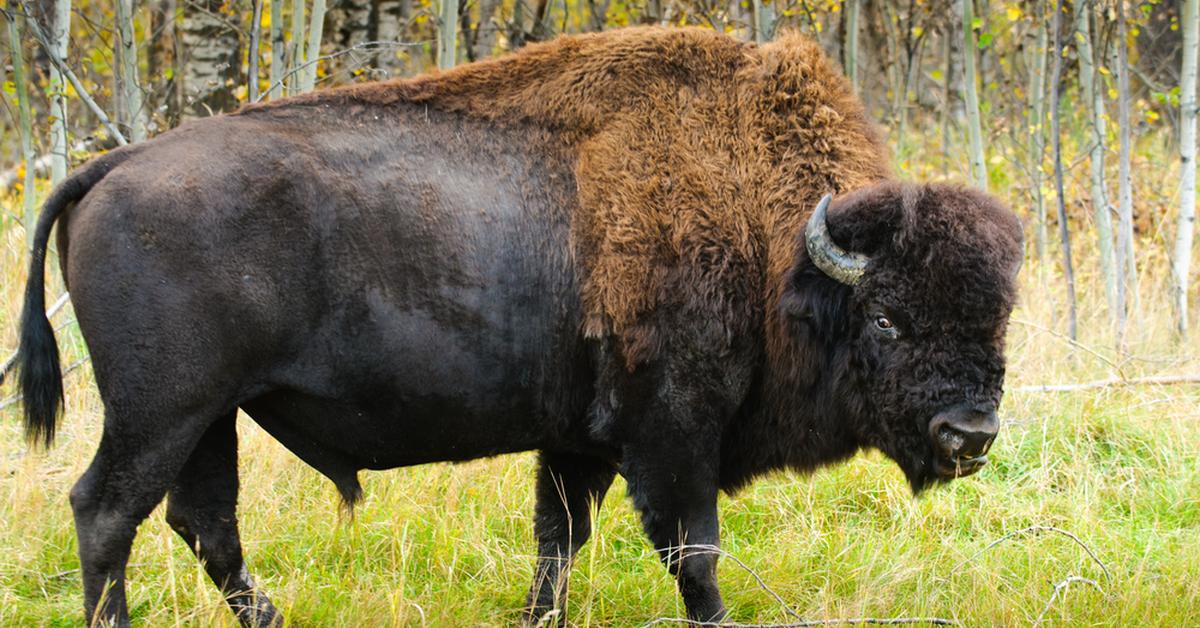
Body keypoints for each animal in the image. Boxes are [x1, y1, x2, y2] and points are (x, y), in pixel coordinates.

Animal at [9, 25, 1022, 628]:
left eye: (998, 318)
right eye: (887, 318)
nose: (970, 435)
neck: (769, 243)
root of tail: (113, 165)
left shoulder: (577, 441)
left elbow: (557, 542)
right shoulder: (671, 434)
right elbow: (693, 555)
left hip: (209, 416)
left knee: (203, 521)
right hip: (162, 410)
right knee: (108, 512)